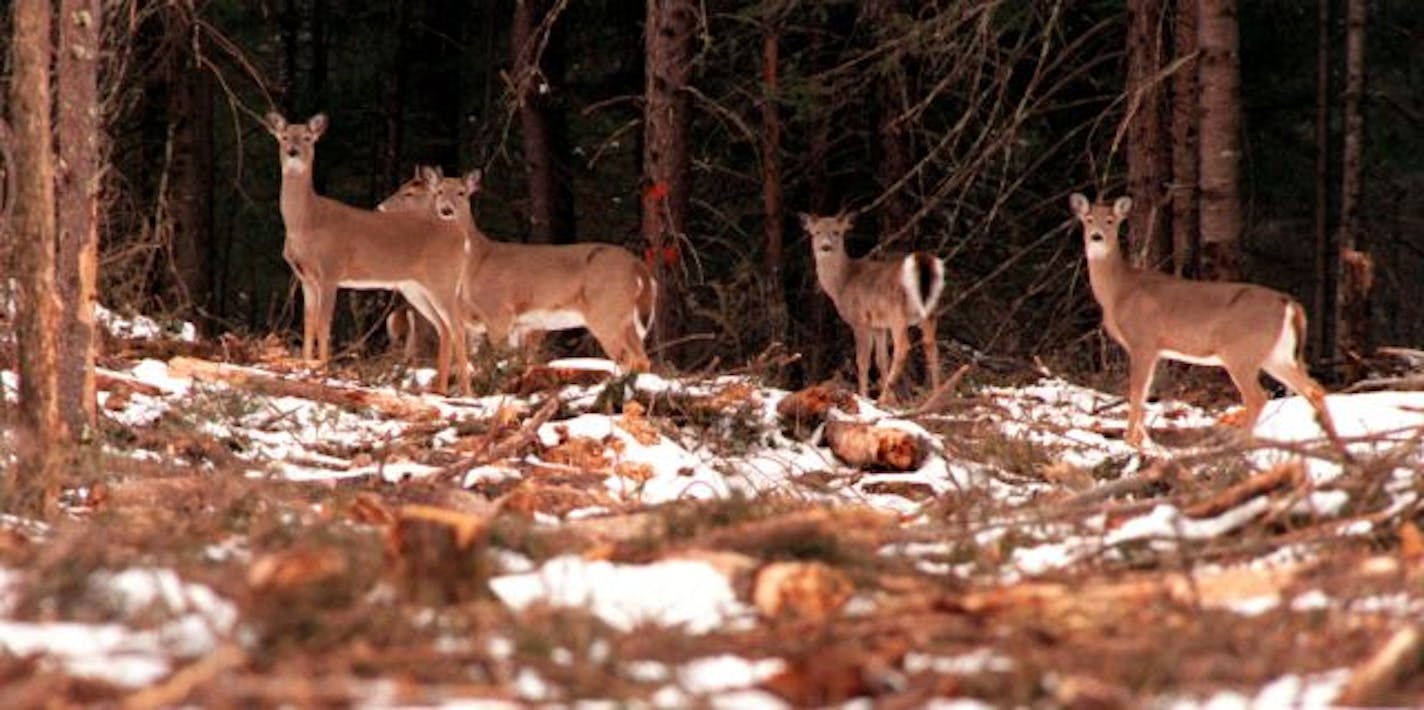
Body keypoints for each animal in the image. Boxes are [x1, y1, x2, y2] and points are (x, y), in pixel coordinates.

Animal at [264, 113, 469, 398]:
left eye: (307, 137)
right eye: (284, 137)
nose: (293, 151)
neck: (306, 222)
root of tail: (462, 238)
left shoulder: (331, 270)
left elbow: (324, 323)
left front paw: (322, 372)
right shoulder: (306, 278)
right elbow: (308, 322)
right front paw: (305, 369)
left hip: (443, 280)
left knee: (458, 327)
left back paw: (467, 393)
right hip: (416, 287)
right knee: (444, 328)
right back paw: (440, 390)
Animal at [381, 166, 657, 372]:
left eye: (461, 193)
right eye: (439, 192)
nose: (445, 210)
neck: (476, 261)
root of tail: (639, 267)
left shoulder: (497, 312)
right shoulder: (508, 324)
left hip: (606, 310)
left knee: (628, 359)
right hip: (626, 318)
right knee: (642, 359)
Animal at [803, 210, 945, 404]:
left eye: (836, 232)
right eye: (816, 232)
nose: (825, 247)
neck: (843, 284)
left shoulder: (860, 320)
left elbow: (862, 360)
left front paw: (864, 396)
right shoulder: (878, 325)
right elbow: (881, 360)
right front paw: (893, 400)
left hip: (898, 312)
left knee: (903, 347)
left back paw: (883, 398)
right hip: (930, 311)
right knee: (931, 345)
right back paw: (936, 396)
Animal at [1070, 194, 1344, 449]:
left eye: (1110, 220)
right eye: (1088, 219)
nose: (1096, 237)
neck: (1119, 292)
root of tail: (1289, 303)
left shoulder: (1143, 341)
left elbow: (1136, 392)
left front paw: (1130, 440)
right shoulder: (1155, 350)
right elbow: (1146, 391)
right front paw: (1143, 440)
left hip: (1241, 352)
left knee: (1258, 397)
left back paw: (1238, 444)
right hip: (1278, 355)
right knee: (1314, 388)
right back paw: (1332, 443)